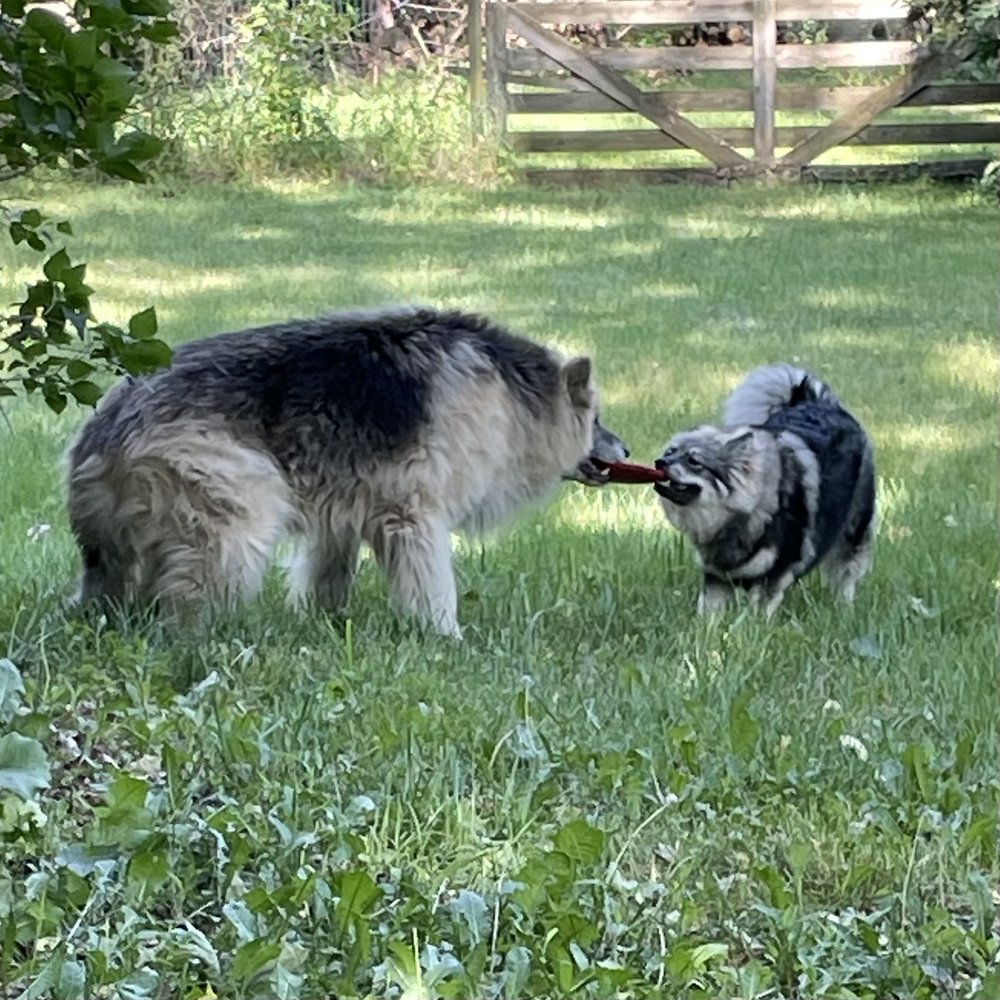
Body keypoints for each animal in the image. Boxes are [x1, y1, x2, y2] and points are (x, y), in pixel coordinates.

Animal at [68, 306, 624, 632]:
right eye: (596, 419)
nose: (625, 447)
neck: (515, 392)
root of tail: (101, 433)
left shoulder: (344, 511)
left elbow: (328, 571)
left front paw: (326, 621)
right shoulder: (412, 516)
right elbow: (430, 584)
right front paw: (444, 636)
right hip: (236, 502)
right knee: (194, 593)